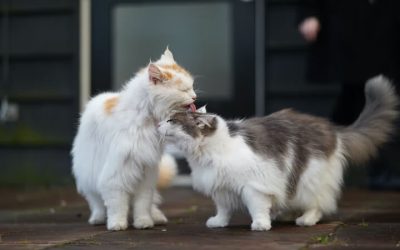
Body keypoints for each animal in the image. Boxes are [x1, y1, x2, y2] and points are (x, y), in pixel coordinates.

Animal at [72, 48, 198, 230]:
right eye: (184, 90)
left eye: (192, 87)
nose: (195, 97)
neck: (146, 119)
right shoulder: (115, 175)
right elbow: (117, 206)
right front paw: (117, 224)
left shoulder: (145, 175)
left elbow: (142, 205)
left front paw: (144, 222)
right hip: (90, 173)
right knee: (96, 203)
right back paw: (97, 219)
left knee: (151, 204)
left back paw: (157, 217)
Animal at [158, 75, 398, 230]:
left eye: (171, 120)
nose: (158, 124)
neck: (207, 153)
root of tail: (332, 128)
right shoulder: (222, 187)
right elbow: (224, 209)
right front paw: (218, 222)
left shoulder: (253, 186)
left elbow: (257, 208)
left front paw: (260, 225)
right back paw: (284, 215)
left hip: (309, 179)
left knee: (318, 204)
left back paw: (305, 220)